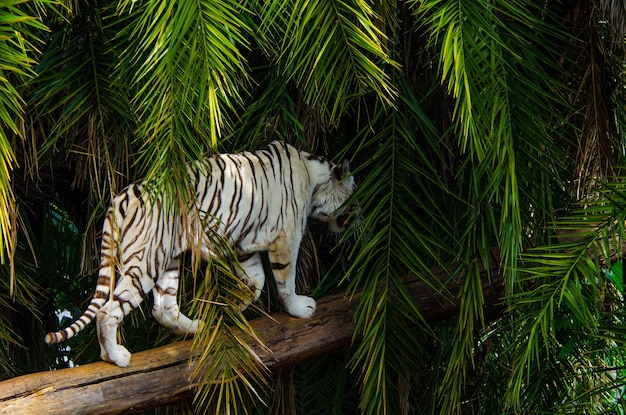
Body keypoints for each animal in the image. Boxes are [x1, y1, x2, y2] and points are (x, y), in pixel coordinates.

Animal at [44, 142, 354, 368]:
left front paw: (231, 307)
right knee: (108, 311)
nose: (357, 215)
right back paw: (115, 357)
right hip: (146, 261)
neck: (312, 175)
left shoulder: (243, 245)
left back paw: (196, 327)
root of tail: (120, 198)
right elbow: (285, 281)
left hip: (168, 258)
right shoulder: (286, 238)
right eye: (353, 194)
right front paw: (299, 308)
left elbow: (255, 284)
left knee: (163, 308)